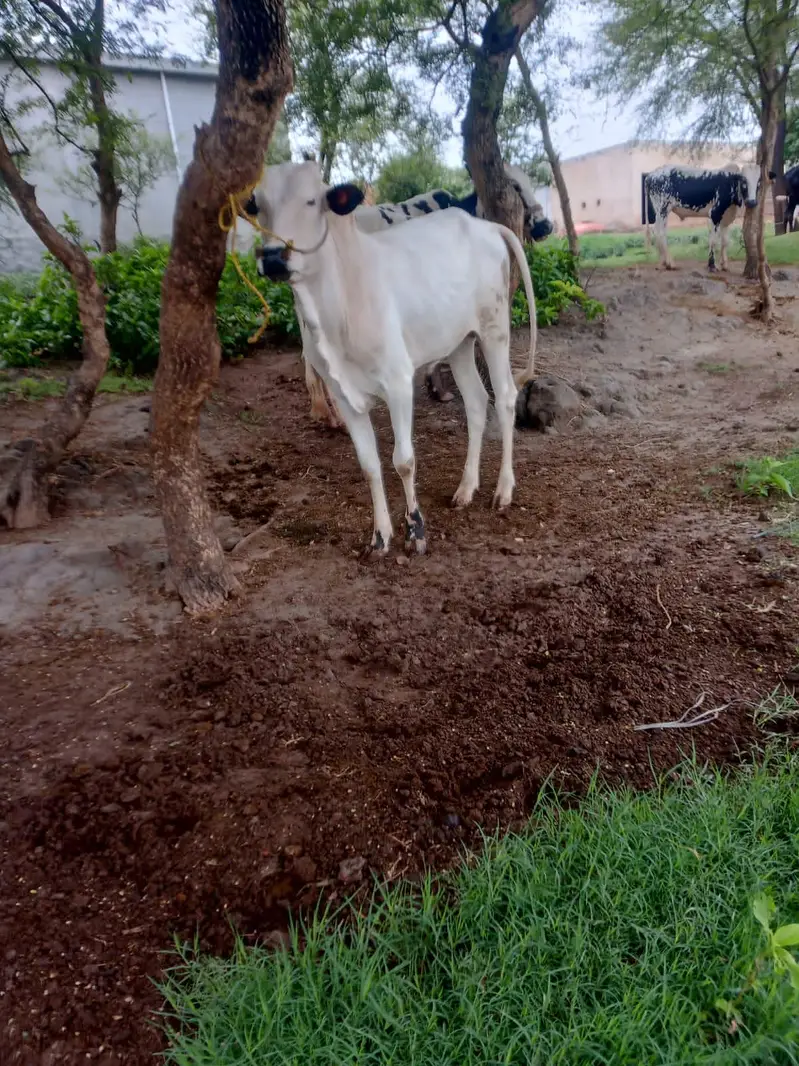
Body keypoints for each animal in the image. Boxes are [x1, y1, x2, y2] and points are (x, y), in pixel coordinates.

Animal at [251, 160, 537, 555]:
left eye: (312, 200)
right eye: (257, 206)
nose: (274, 257)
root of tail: (485, 225)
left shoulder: (399, 382)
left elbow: (403, 460)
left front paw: (415, 531)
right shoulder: (343, 394)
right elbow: (370, 465)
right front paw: (380, 536)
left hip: (494, 329)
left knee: (506, 398)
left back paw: (504, 490)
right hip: (459, 342)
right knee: (477, 403)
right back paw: (466, 488)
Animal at [644, 164, 774, 271]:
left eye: (759, 182)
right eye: (744, 181)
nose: (752, 202)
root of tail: (651, 175)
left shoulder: (725, 219)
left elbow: (725, 241)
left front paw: (724, 265)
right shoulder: (715, 214)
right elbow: (713, 240)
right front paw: (712, 265)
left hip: (660, 212)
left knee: (658, 232)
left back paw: (662, 262)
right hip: (663, 209)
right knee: (661, 233)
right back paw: (670, 263)